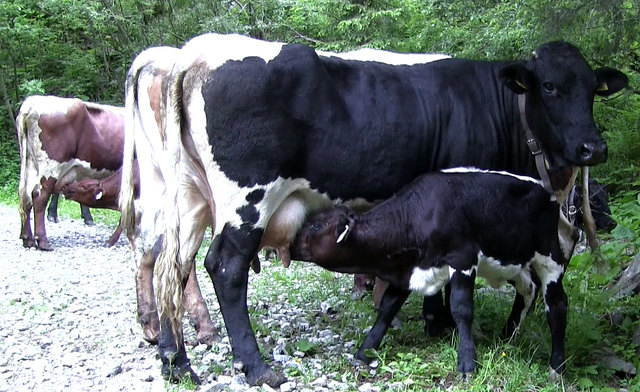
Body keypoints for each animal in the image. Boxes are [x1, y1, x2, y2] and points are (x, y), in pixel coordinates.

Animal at [17, 93, 125, 250]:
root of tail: (31, 103)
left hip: (31, 164)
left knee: (26, 197)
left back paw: (28, 239)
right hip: (51, 167)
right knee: (40, 197)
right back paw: (43, 241)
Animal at [292, 168, 572, 376]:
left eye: (315, 225)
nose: (290, 240)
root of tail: (546, 191)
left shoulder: (463, 258)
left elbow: (461, 309)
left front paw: (467, 364)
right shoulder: (405, 270)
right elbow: (387, 308)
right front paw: (364, 352)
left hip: (550, 257)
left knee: (557, 305)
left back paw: (557, 367)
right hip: (509, 261)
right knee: (528, 288)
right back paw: (506, 337)